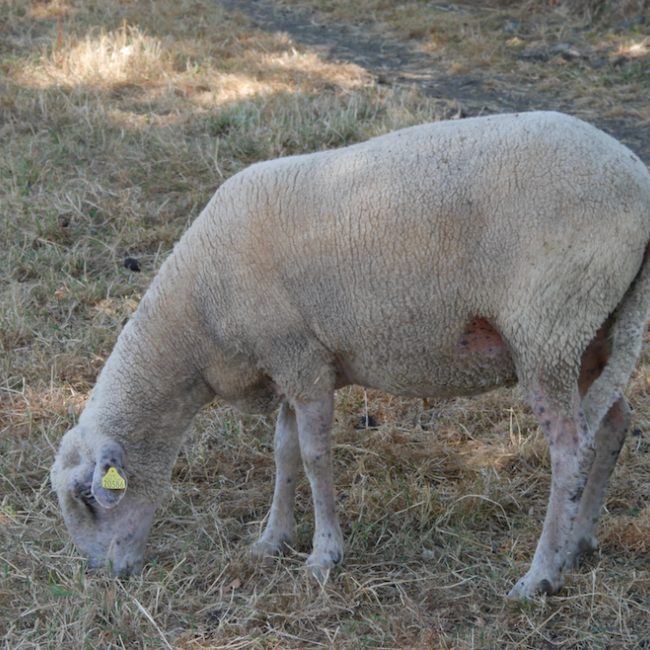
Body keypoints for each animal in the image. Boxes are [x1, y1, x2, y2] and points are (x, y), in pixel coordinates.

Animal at [51, 111, 650, 599]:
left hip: (549, 326)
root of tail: (639, 180)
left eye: (89, 499)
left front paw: (323, 555)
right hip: (594, 329)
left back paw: (540, 575)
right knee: (613, 421)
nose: (104, 576)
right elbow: (284, 451)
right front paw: (272, 540)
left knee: (569, 449)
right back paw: (580, 541)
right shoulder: (290, 360)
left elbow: (315, 456)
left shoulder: (302, 360)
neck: (195, 320)